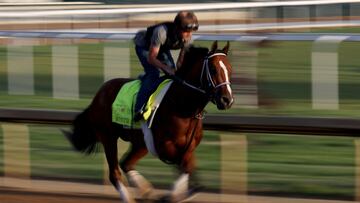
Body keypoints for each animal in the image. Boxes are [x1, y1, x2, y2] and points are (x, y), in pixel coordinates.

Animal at [64, 40, 233, 202]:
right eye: (213, 69)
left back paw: (146, 190)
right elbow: (184, 168)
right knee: (115, 172)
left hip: (140, 143)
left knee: (126, 163)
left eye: (230, 69)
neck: (182, 105)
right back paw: (131, 197)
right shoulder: (164, 147)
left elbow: (189, 170)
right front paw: (171, 195)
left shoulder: (188, 147)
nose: (227, 100)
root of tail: (99, 94)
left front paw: (179, 193)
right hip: (108, 136)